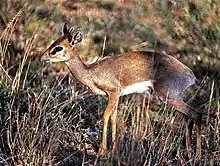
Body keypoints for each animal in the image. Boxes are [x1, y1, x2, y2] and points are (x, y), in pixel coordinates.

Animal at [41, 23, 201, 160]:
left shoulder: (114, 93)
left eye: (58, 48)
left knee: (196, 114)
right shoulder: (115, 97)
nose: (43, 57)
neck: (91, 73)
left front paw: (101, 151)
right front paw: (113, 150)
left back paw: (197, 156)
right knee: (188, 118)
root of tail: (191, 75)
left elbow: (105, 116)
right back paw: (187, 154)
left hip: (168, 97)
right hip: (175, 98)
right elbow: (113, 118)